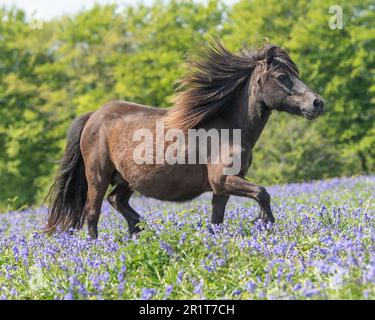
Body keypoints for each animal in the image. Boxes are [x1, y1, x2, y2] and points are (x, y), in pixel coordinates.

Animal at [46, 39, 324, 238]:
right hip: (98, 177)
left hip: (127, 179)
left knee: (117, 201)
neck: (230, 128)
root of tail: (94, 116)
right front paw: (265, 224)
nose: (317, 103)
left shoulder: (222, 188)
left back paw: (137, 230)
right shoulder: (224, 180)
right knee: (92, 213)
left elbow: (217, 221)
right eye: (282, 77)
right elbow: (263, 193)